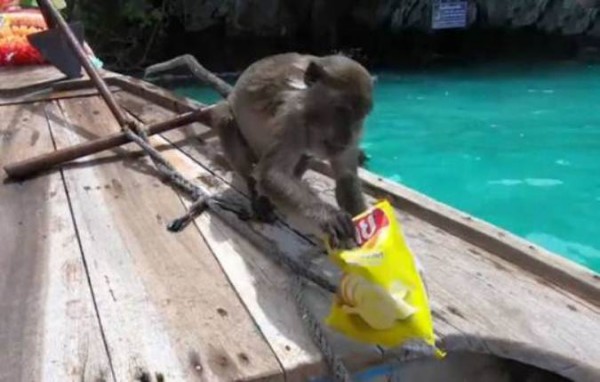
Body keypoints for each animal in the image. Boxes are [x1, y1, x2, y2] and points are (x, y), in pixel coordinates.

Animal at [209, 52, 372, 248]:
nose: (346, 138)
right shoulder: (291, 115)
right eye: (341, 109)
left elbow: (346, 177)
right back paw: (256, 197)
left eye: (360, 116)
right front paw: (331, 217)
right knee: (225, 118)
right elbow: (271, 174)